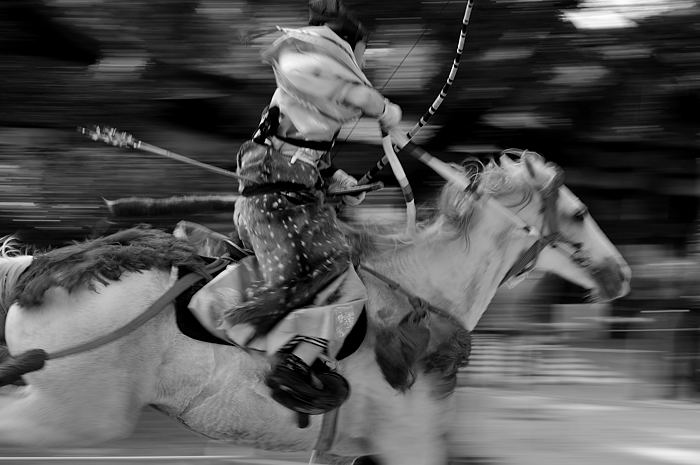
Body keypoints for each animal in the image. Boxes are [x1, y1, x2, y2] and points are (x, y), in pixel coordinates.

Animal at [0, 150, 632, 462]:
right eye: (578, 214)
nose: (621, 275)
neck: (423, 295)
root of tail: (36, 271)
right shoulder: (408, 443)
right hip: (78, 417)